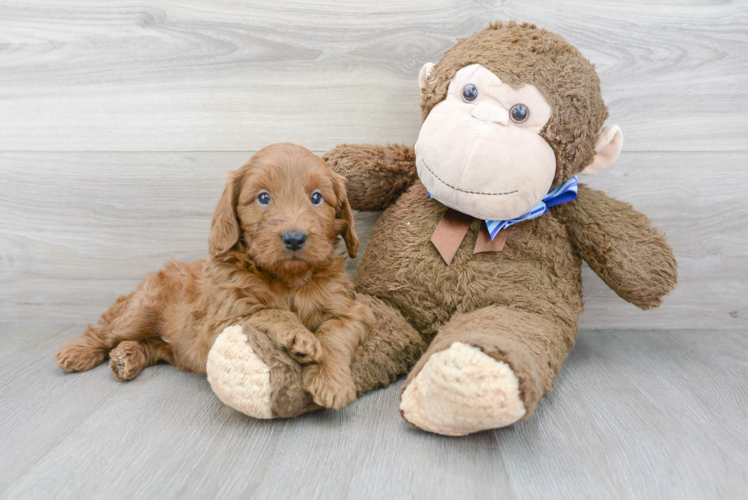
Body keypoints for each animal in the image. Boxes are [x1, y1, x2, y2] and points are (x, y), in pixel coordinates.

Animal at [55, 143, 374, 408]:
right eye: (263, 197)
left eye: (316, 198)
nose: (294, 238)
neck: (288, 279)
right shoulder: (221, 318)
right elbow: (266, 310)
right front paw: (300, 335)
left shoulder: (350, 311)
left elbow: (334, 337)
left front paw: (331, 381)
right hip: (141, 311)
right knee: (105, 330)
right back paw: (77, 351)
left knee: (153, 347)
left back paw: (127, 357)